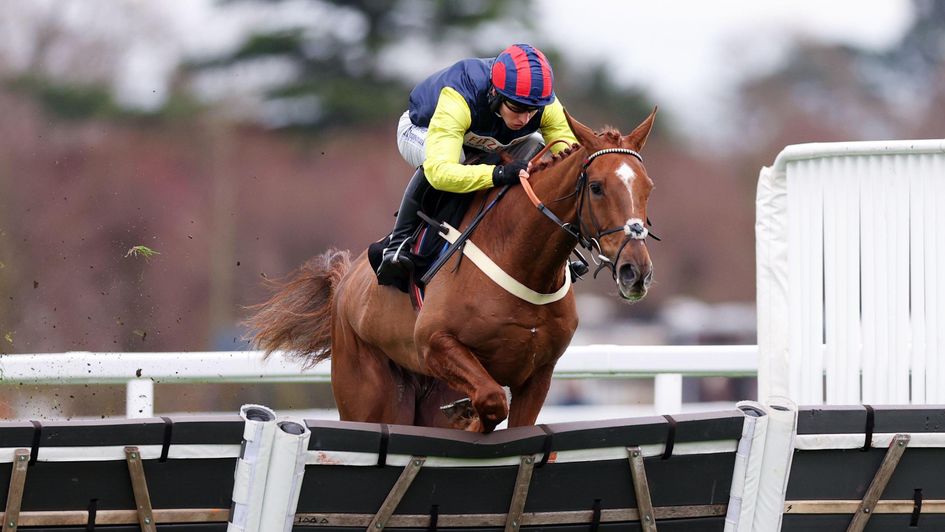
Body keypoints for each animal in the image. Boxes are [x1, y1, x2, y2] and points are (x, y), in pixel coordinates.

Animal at [247, 110, 652, 434]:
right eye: (596, 187)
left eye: (648, 187)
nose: (636, 271)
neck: (523, 263)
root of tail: (345, 282)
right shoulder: (433, 343)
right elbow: (490, 400)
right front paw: (470, 418)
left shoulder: (538, 376)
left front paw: (467, 416)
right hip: (370, 394)